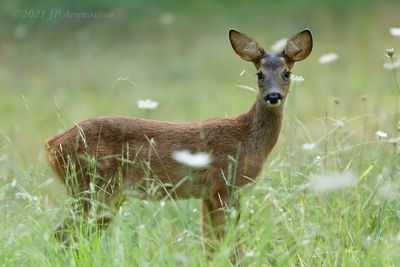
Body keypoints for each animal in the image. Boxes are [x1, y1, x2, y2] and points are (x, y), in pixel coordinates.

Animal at [44, 28, 312, 258]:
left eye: (286, 73)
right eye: (259, 74)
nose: (273, 96)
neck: (248, 138)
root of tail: (52, 145)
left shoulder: (209, 194)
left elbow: (210, 244)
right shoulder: (225, 185)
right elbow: (231, 243)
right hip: (92, 188)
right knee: (63, 235)